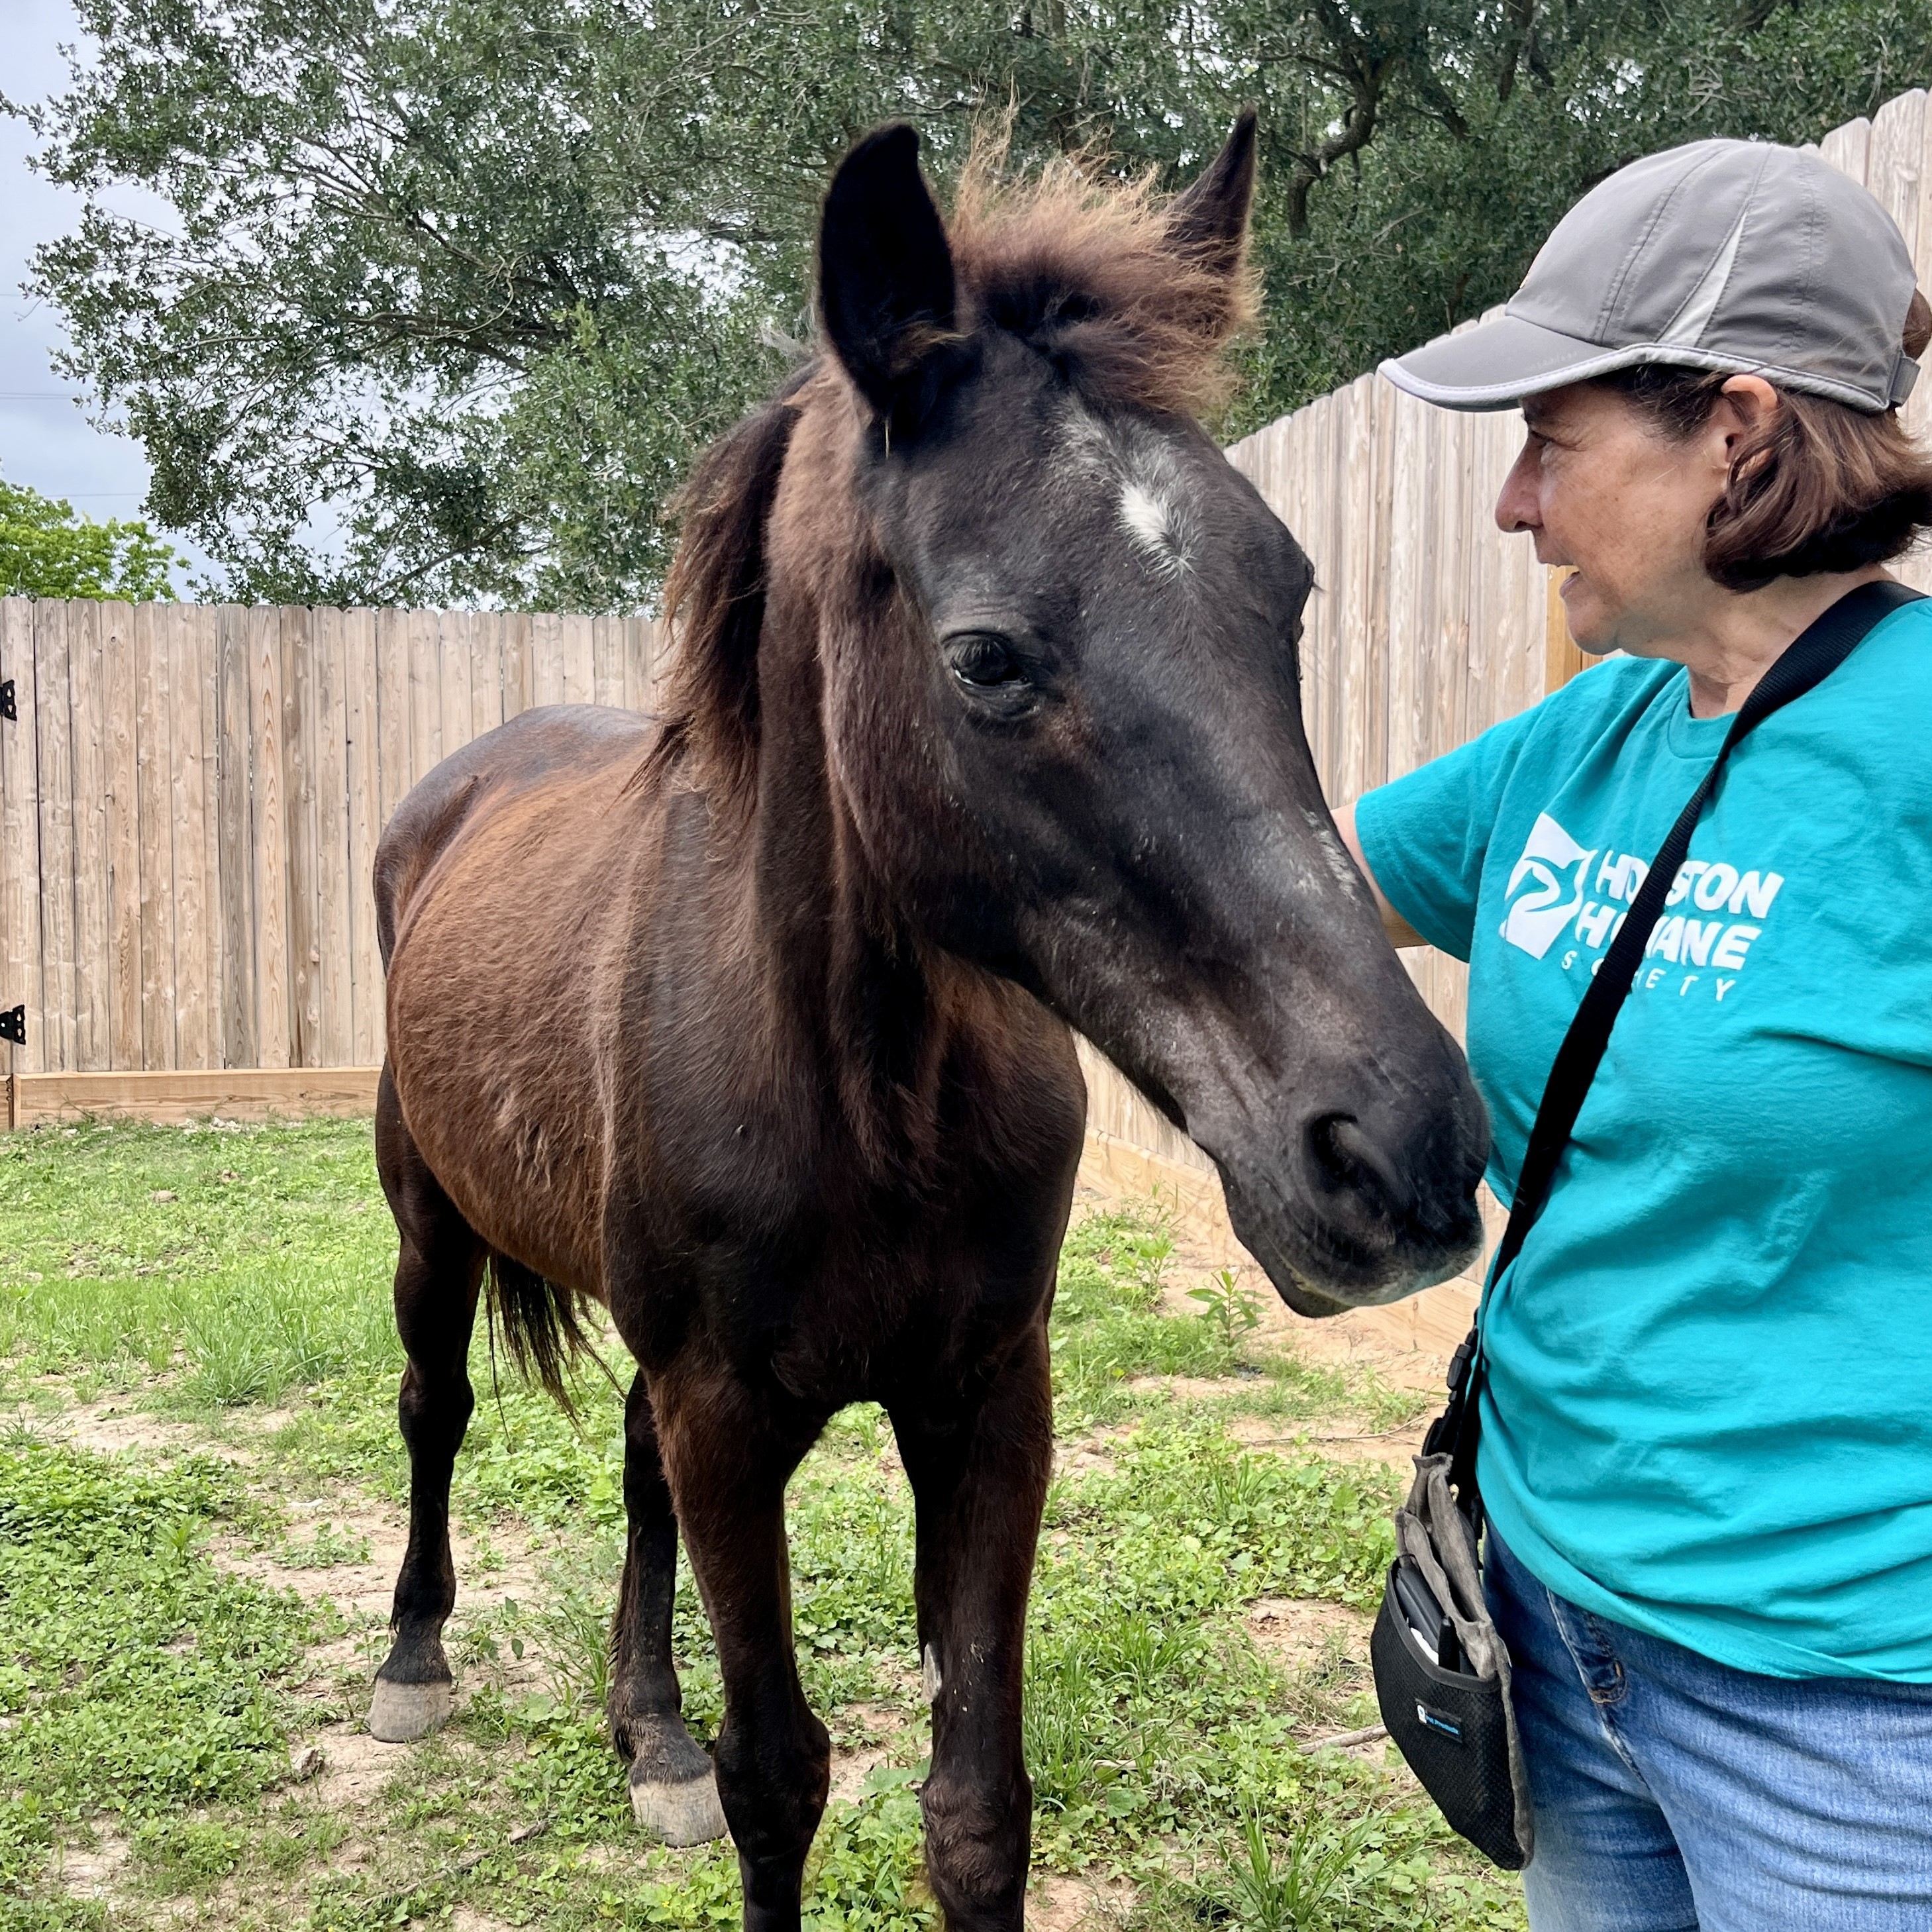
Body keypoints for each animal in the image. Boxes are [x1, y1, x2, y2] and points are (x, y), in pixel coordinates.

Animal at [368, 113, 1488, 1932]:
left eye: (1289, 595)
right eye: (985, 658)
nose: (1401, 1159)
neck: (865, 1098)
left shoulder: (984, 1402)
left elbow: (974, 1805)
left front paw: (691, 1746)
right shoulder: (731, 1416)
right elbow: (778, 1779)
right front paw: (705, 1764)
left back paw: (644, 1728)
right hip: (427, 1218)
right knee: (432, 1405)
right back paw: (413, 1661)